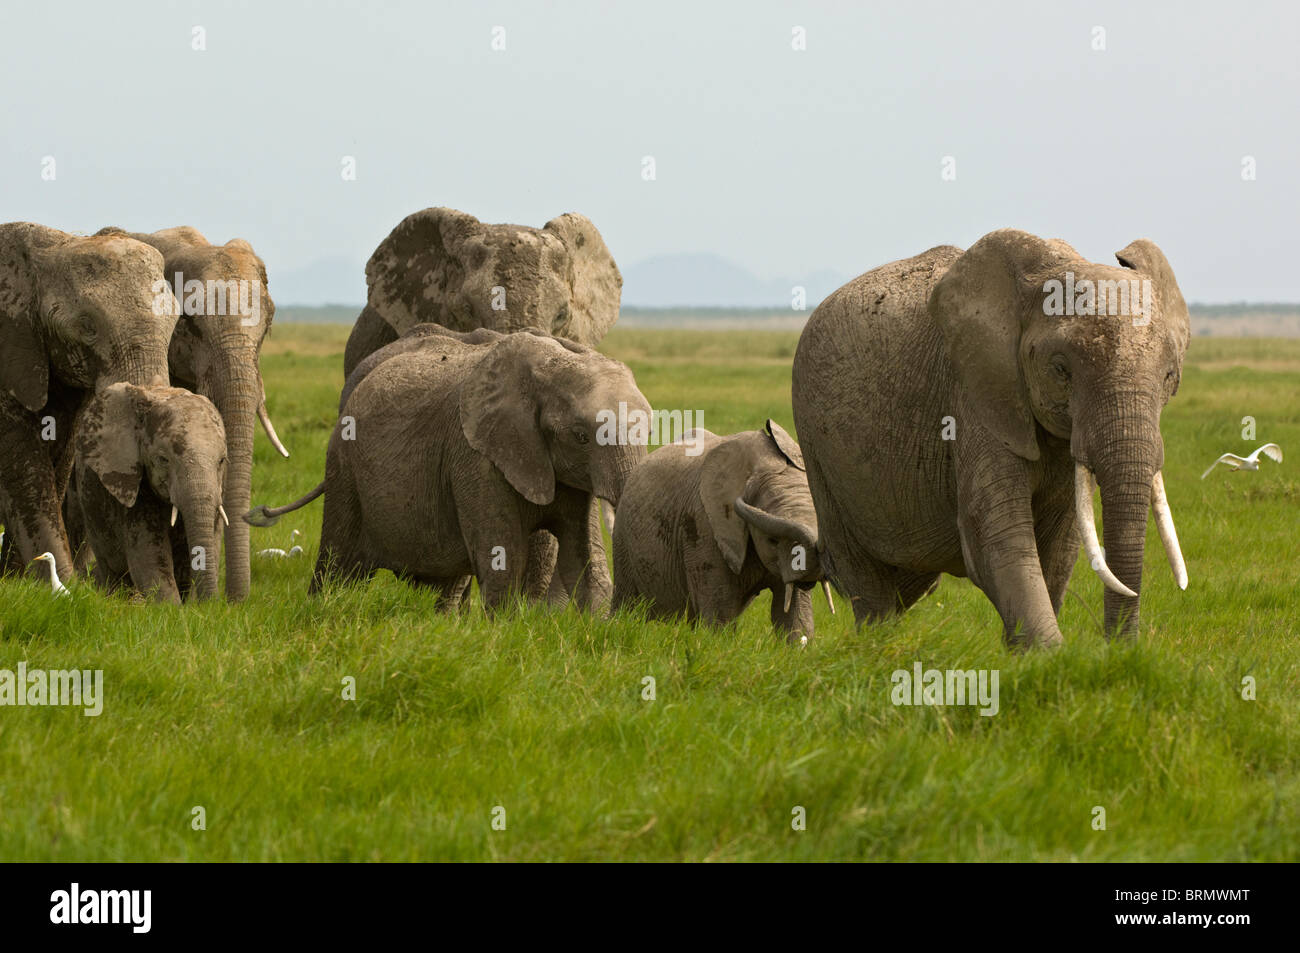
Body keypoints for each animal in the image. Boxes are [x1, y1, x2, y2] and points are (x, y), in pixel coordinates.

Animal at [0, 223, 178, 579]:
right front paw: (60, 586)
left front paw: (18, 581)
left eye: (176, 321)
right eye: (87, 327)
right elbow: (24, 468)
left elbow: (55, 463)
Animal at [611, 421, 832, 642]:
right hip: (623, 539)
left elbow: (792, 612)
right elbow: (720, 611)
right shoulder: (703, 526)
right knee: (627, 602)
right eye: (772, 541)